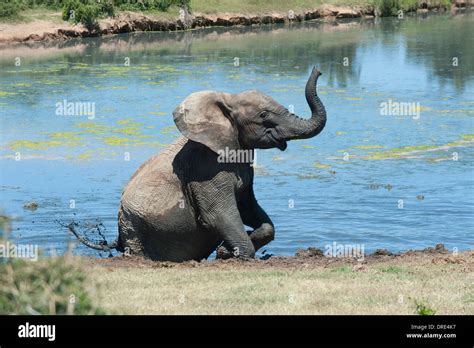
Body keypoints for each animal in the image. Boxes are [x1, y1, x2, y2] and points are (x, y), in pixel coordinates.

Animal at [70, 67, 328, 260]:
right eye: (263, 115)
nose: (319, 70)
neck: (226, 103)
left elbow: (248, 208)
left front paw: (225, 251)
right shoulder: (205, 169)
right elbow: (219, 214)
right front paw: (233, 255)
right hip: (134, 227)